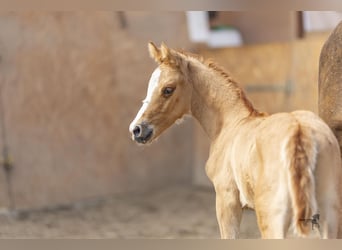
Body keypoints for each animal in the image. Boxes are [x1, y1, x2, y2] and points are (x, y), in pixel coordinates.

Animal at [129, 42, 342, 239]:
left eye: (168, 89)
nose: (137, 129)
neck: (231, 123)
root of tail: (299, 131)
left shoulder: (227, 200)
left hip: (272, 216)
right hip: (328, 215)